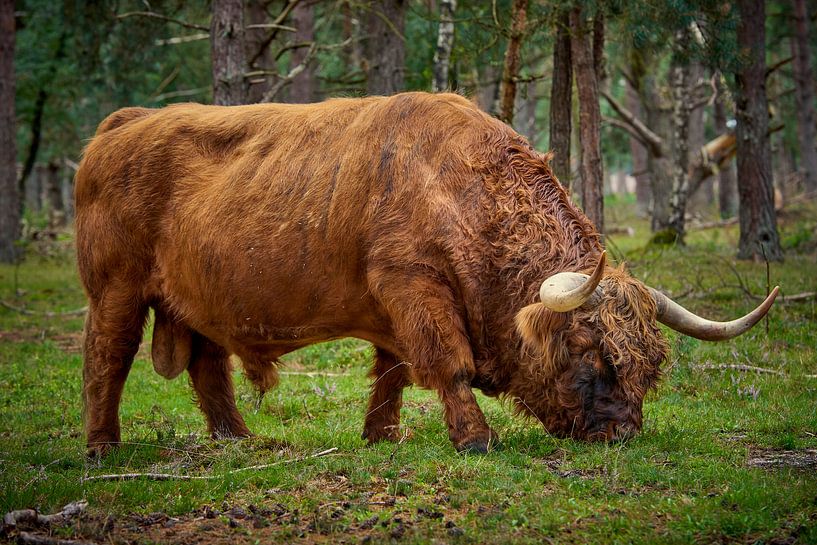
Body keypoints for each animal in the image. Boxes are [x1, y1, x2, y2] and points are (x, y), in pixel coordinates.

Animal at [75, 92, 778, 456]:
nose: (621, 433)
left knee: (207, 366)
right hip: (117, 290)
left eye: (648, 366)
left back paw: (241, 441)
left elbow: (392, 371)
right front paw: (476, 439)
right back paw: (103, 445)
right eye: (588, 353)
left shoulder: (392, 306)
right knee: (108, 358)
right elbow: (446, 362)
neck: (464, 192)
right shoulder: (413, 287)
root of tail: (121, 123)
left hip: (196, 300)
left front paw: (380, 437)